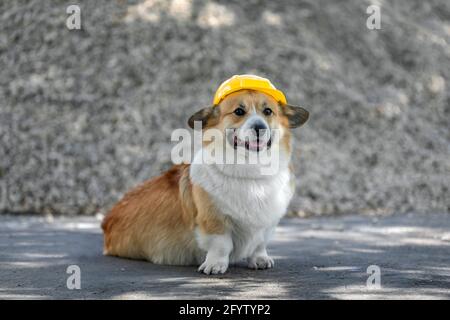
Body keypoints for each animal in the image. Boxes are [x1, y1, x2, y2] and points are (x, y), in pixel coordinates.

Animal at [101, 76, 310, 274]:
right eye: (239, 112)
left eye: (268, 111)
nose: (260, 127)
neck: (251, 171)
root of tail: (107, 222)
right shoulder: (213, 220)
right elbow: (222, 245)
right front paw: (215, 265)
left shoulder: (267, 223)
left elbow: (259, 244)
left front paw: (260, 259)